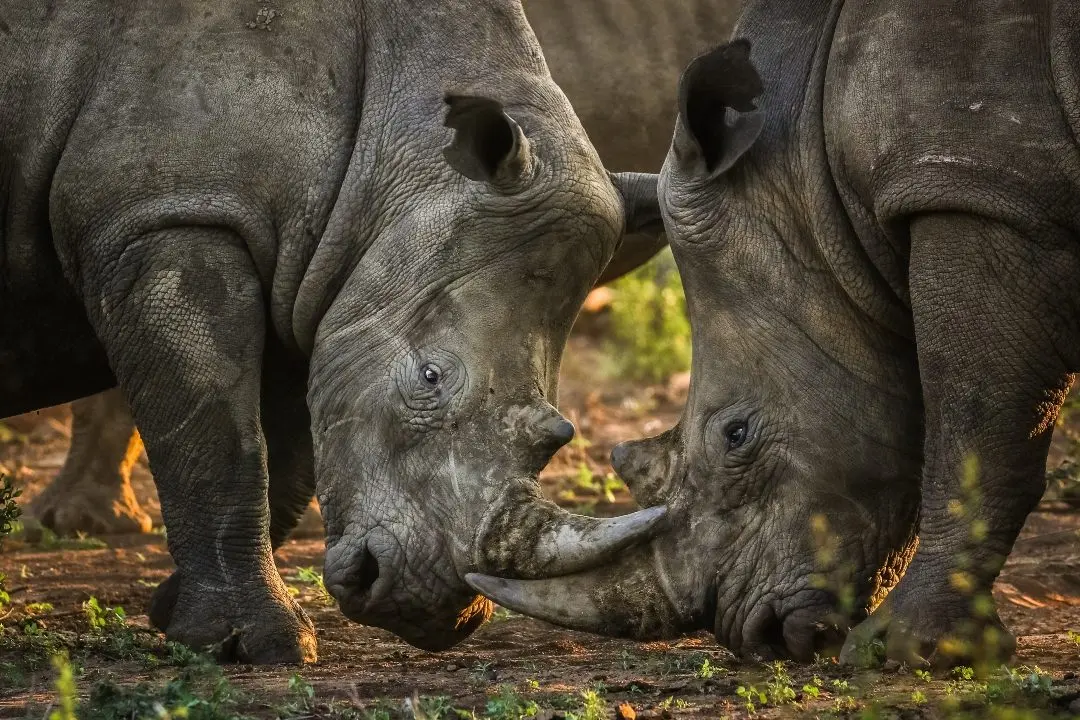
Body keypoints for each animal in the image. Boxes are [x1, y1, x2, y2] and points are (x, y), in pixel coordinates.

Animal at [1, 0, 681, 662]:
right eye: (429, 377)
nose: (431, 607)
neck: (402, 141)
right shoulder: (170, 214)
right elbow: (220, 439)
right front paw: (257, 645)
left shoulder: (309, 274)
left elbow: (286, 450)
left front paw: (178, 613)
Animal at [469, 0, 1080, 668]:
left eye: (736, 435)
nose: (756, 635)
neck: (807, 166)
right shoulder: (989, 190)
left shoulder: (979, 193)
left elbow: (973, 431)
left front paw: (906, 651)